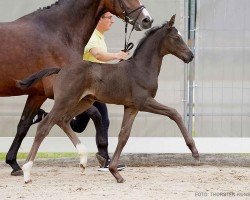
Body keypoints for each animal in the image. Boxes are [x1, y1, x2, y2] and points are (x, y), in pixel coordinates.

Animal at [18, 14, 199, 184]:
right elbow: (174, 113)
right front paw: (195, 152)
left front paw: (115, 172)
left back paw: (83, 160)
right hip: (65, 101)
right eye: (177, 38)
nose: (190, 56)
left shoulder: (131, 107)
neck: (141, 68)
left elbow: (124, 135)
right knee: (44, 126)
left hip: (84, 101)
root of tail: (61, 70)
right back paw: (26, 172)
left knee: (63, 120)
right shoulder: (144, 102)